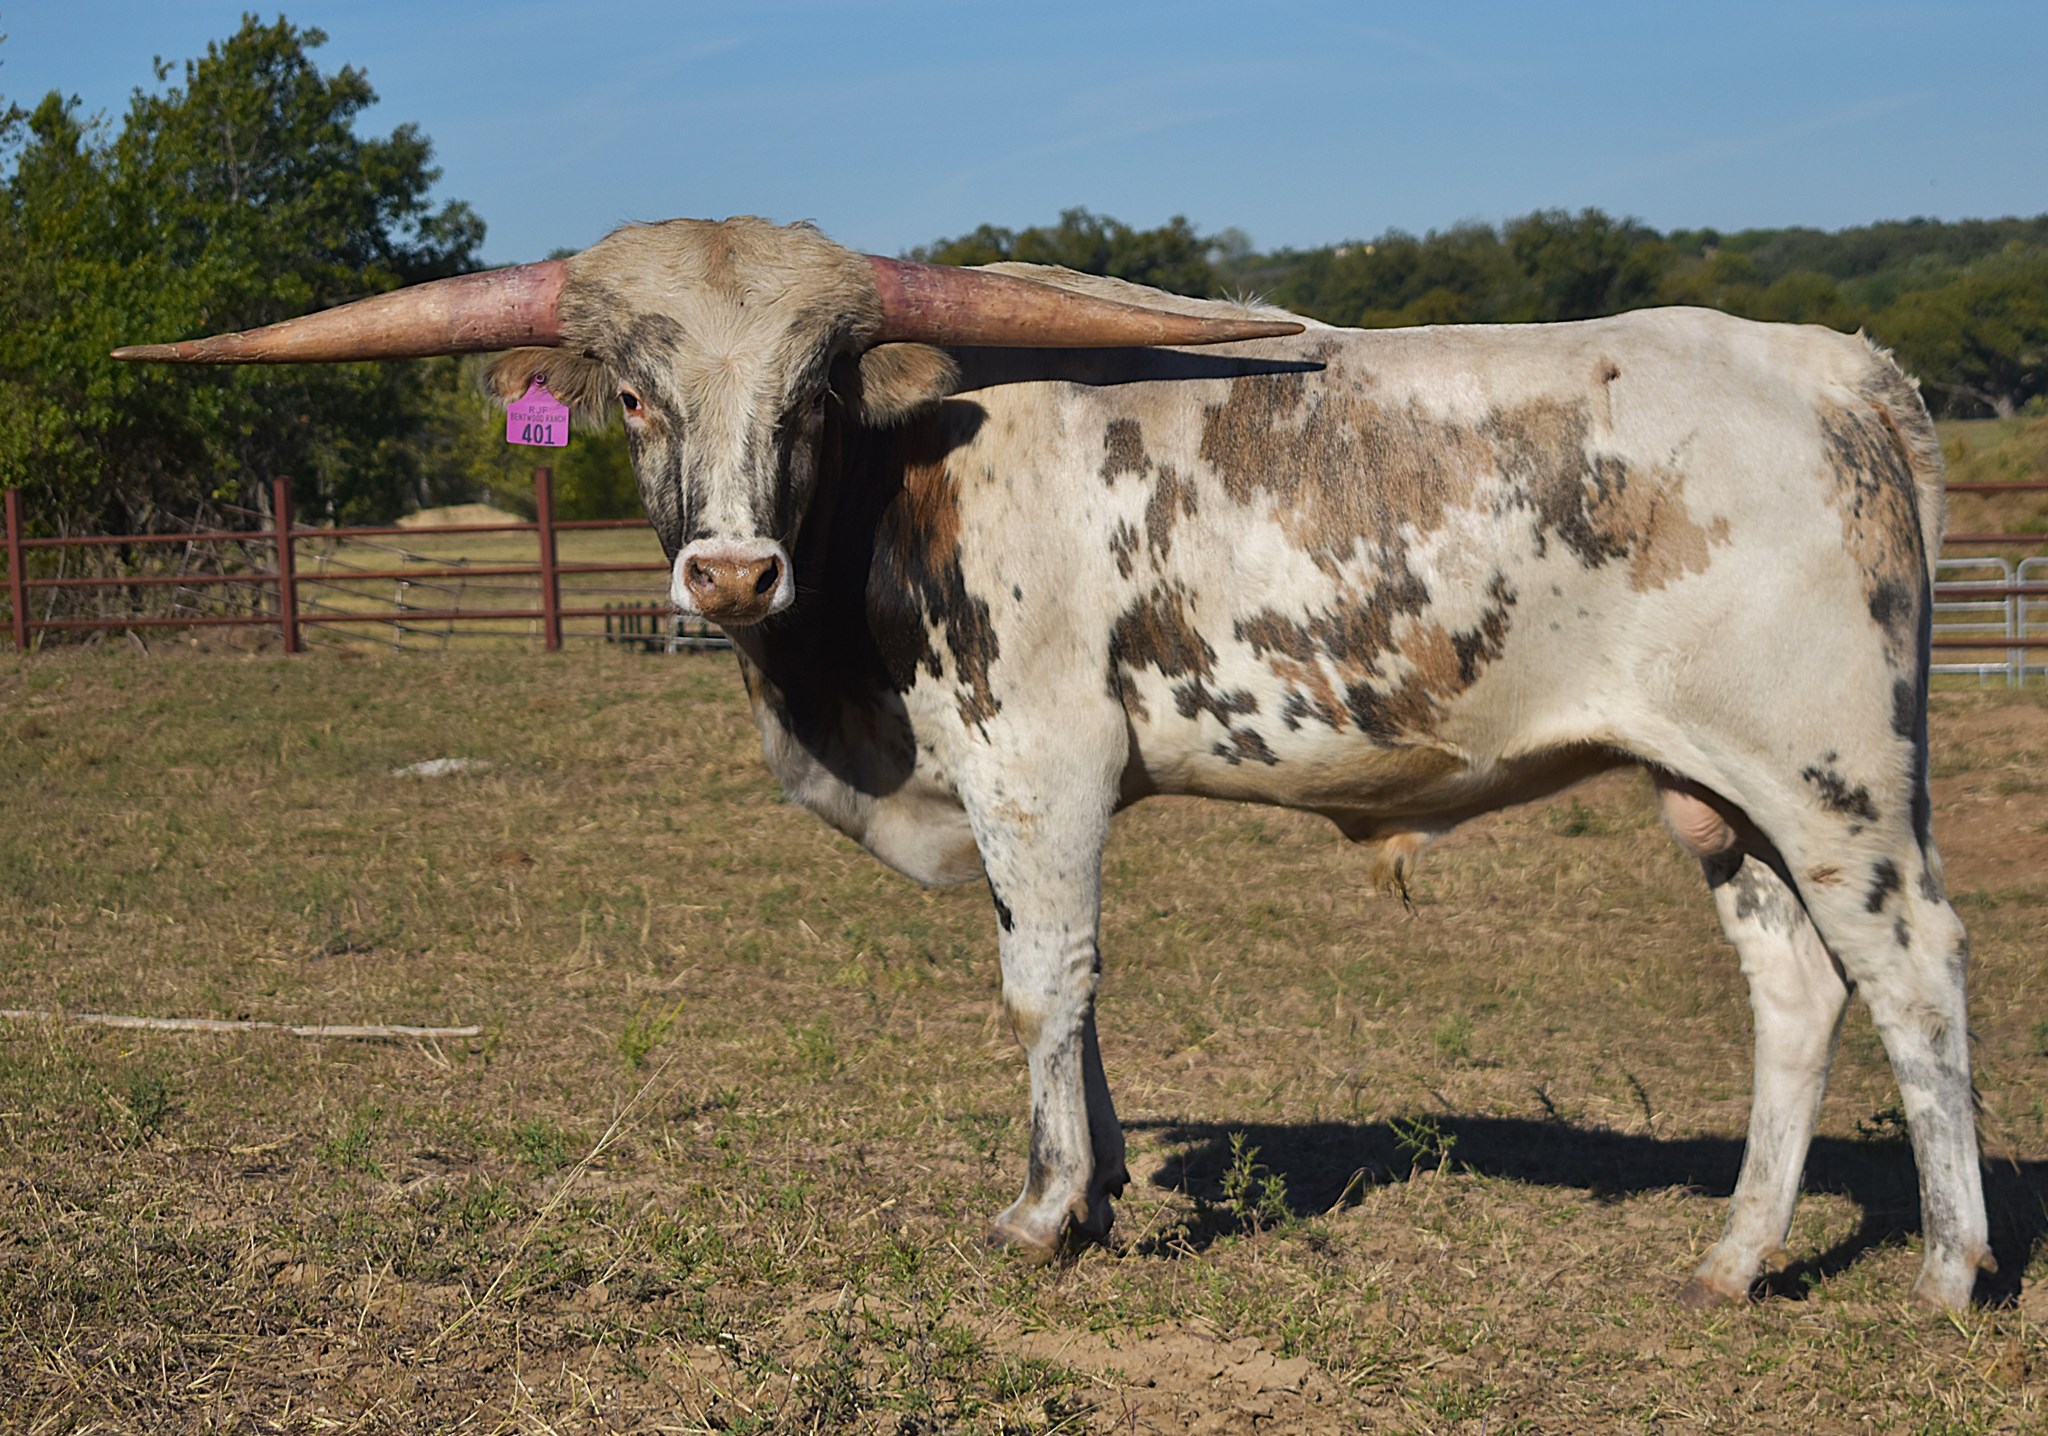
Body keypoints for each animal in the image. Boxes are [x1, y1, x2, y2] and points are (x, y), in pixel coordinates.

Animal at [114, 215, 1991, 1309]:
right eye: (632, 396)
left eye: (811, 394)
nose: (727, 573)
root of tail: (1836, 366)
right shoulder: (1012, 793)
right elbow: (1068, 984)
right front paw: (1091, 1196)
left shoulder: (1040, 763)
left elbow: (1041, 980)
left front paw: (1037, 1215)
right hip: (1723, 795)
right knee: (1792, 991)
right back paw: (1736, 1255)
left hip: (1833, 774)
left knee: (1912, 976)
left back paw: (1954, 1271)